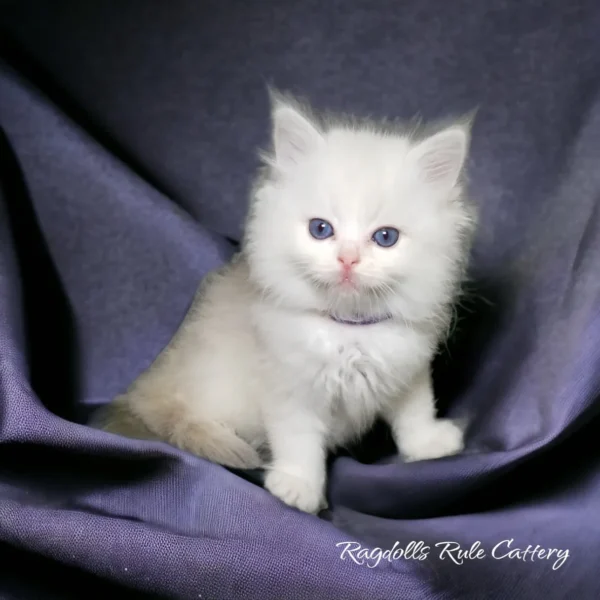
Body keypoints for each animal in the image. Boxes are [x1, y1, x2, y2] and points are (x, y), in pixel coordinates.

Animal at [96, 91, 476, 512]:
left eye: (385, 237)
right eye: (321, 229)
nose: (347, 259)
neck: (348, 331)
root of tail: (143, 390)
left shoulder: (407, 366)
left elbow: (415, 410)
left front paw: (428, 444)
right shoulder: (288, 386)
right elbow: (299, 443)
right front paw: (299, 488)